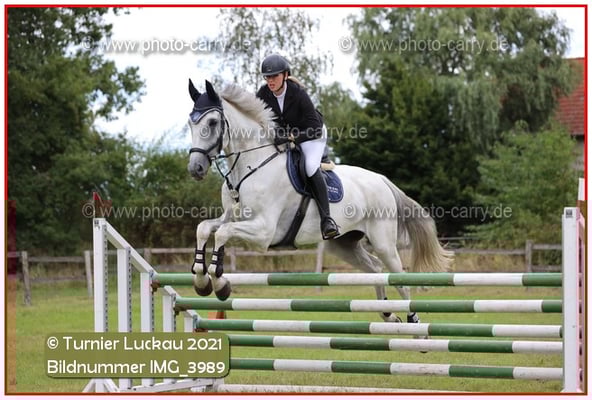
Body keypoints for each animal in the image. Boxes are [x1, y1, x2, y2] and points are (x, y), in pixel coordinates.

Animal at [186, 79, 453, 324]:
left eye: (212, 122)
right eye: (191, 121)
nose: (195, 169)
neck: (251, 166)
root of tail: (381, 180)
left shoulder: (263, 232)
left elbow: (222, 233)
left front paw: (219, 284)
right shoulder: (232, 217)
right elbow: (205, 228)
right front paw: (201, 280)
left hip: (383, 242)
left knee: (400, 280)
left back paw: (413, 322)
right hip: (344, 244)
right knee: (376, 269)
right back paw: (387, 315)